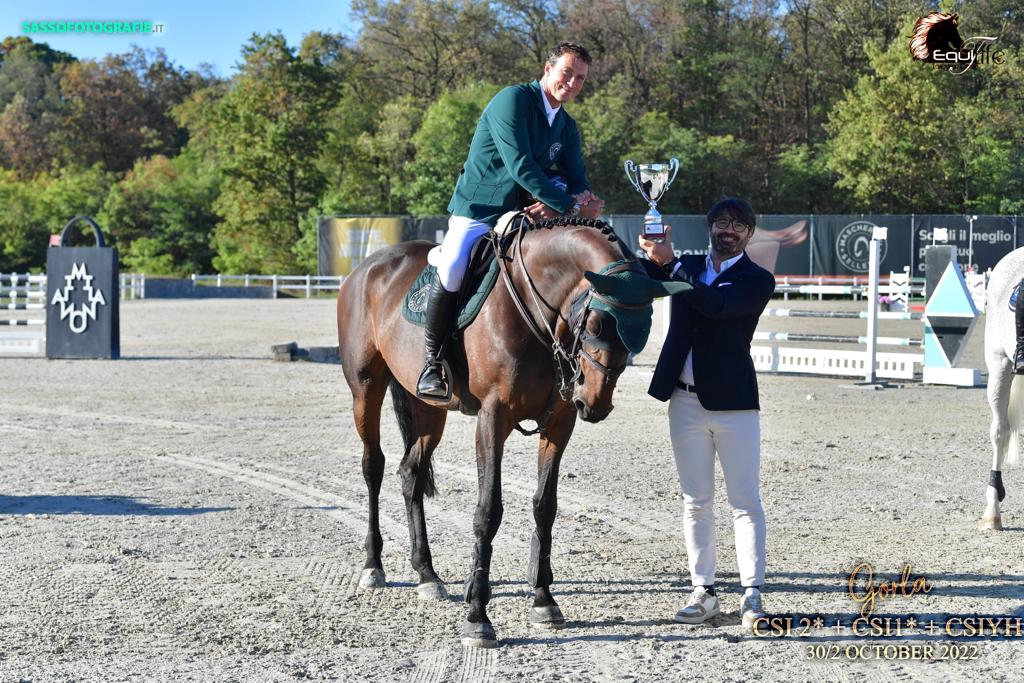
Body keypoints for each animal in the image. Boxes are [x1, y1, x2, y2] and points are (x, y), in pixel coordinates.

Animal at [337, 216, 688, 651]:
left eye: (645, 329)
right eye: (595, 323)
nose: (594, 403)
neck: (537, 311)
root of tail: (369, 265)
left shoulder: (560, 422)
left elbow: (545, 506)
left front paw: (544, 601)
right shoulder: (493, 418)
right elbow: (488, 511)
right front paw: (477, 616)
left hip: (428, 409)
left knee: (410, 473)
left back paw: (427, 574)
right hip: (366, 388)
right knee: (374, 466)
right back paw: (373, 566)